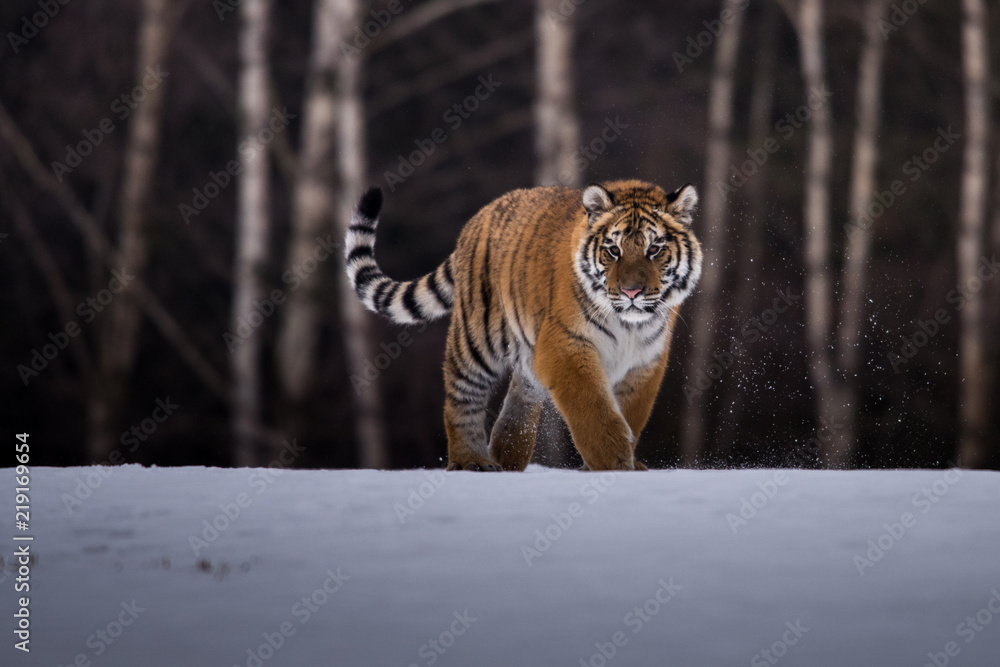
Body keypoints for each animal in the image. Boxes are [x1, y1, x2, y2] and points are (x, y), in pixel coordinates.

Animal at [345, 179, 703, 471]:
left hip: (526, 358)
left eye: (654, 249)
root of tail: (481, 214)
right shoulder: (567, 344)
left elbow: (631, 413)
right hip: (476, 340)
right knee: (461, 398)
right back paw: (472, 461)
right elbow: (593, 408)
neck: (629, 325)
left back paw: (506, 458)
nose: (631, 292)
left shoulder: (646, 361)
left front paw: (622, 461)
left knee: (517, 404)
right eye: (613, 250)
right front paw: (611, 461)